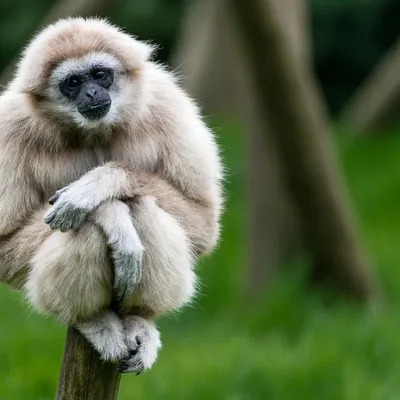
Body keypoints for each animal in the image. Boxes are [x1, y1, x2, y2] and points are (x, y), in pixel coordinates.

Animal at [0, 17, 222, 374]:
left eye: (100, 74)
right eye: (73, 82)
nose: (92, 92)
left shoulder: (168, 103)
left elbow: (203, 222)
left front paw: (98, 185)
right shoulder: (8, 128)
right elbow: (6, 244)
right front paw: (109, 214)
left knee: (142, 205)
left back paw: (139, 319)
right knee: (85, 226)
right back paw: (93, 319)